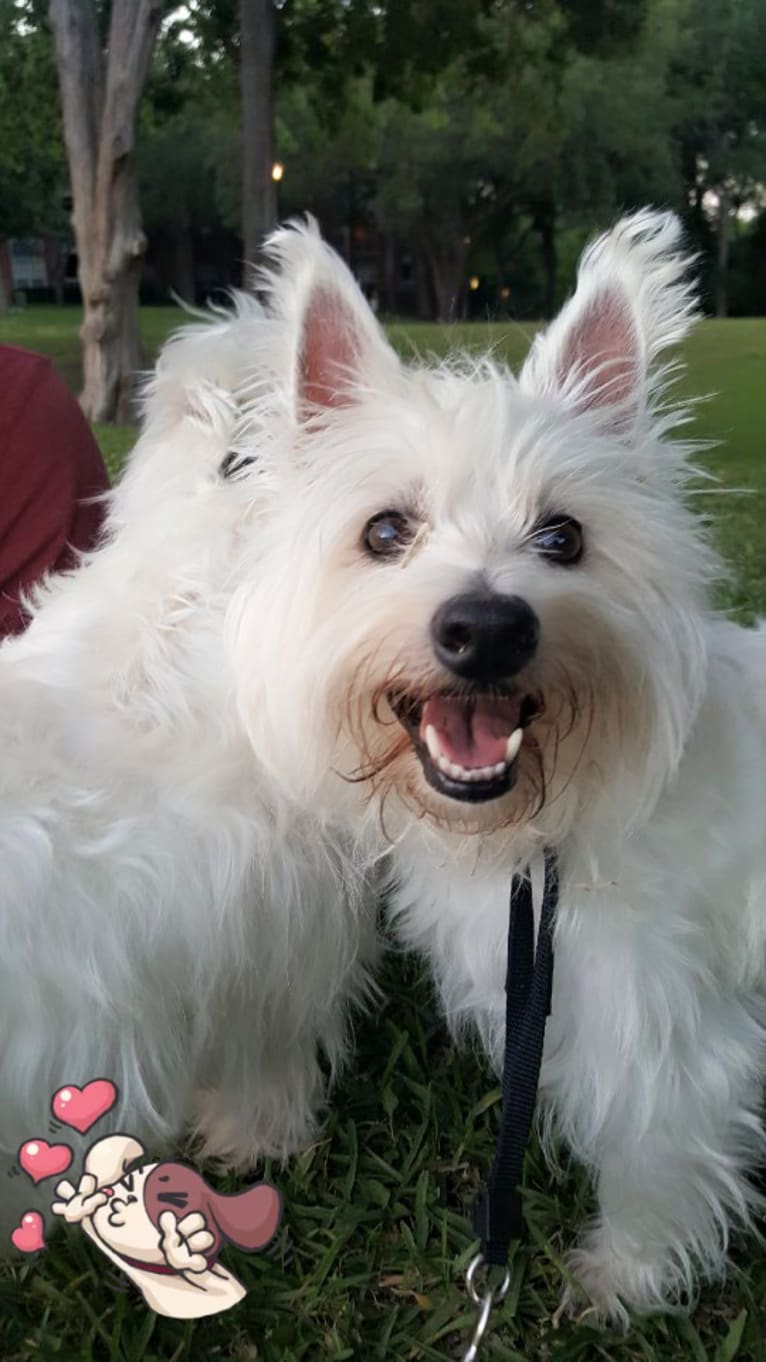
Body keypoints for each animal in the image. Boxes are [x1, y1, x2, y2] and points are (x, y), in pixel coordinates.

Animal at [0, 212, 757, 1329]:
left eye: (563, 536)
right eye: (385, 530)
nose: (486, 627)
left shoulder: (651, 1032)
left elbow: (656, 1165)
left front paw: (623, 1281)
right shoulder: (268, 946)